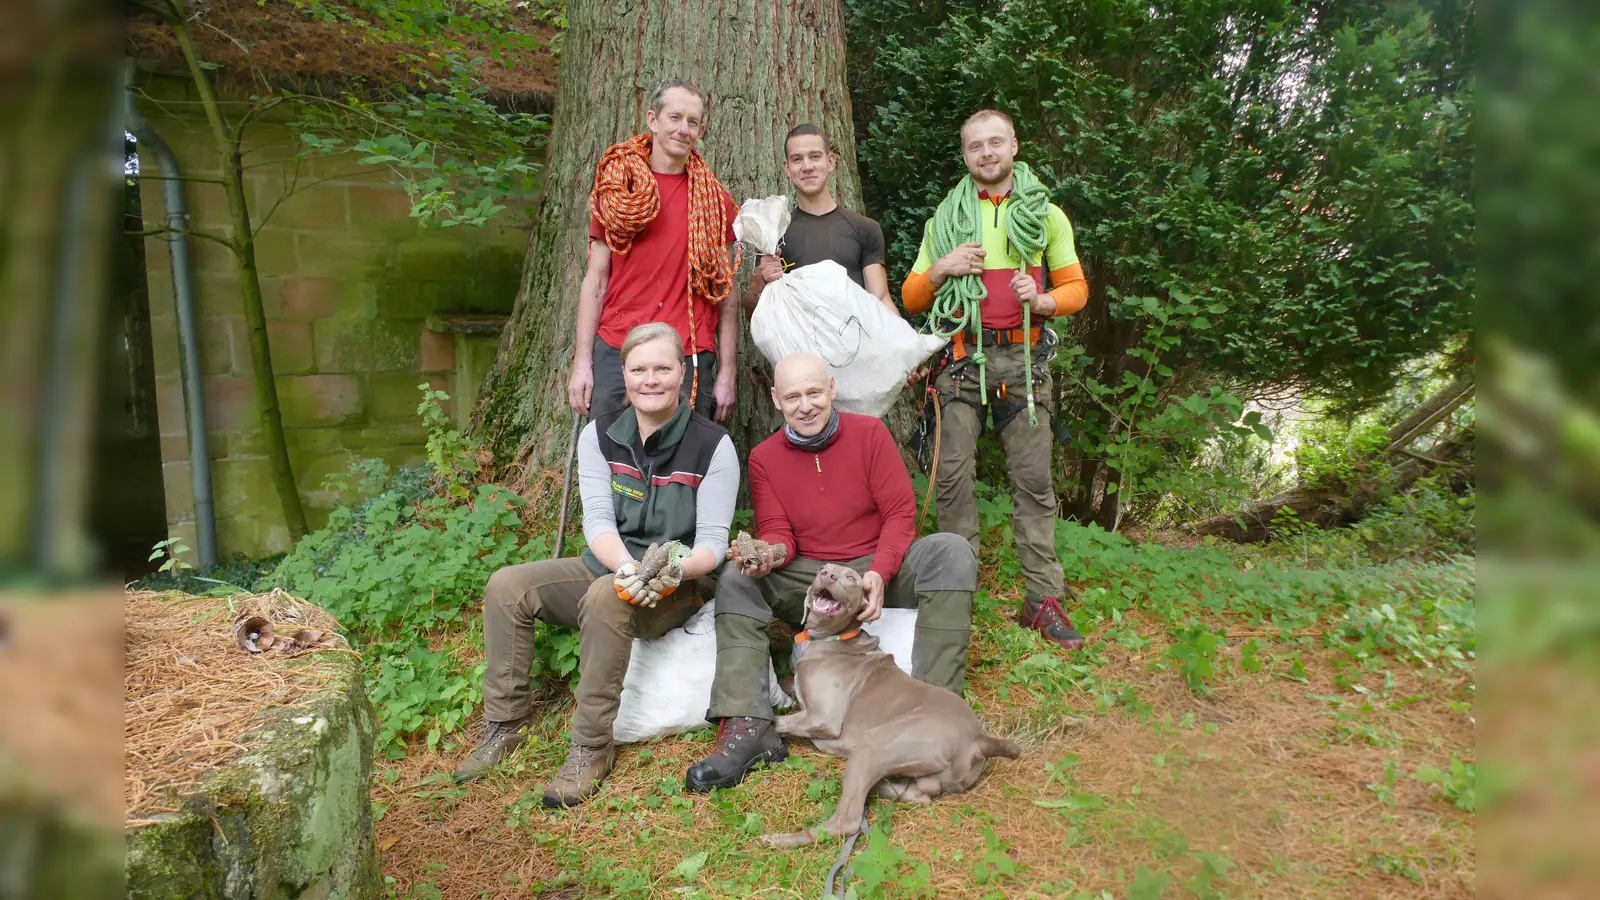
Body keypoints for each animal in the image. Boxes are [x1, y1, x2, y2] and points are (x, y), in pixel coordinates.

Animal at [758, 563, 1011, 845]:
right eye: (823, 569)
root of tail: (979, 740)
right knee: (920, 795)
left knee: (847, 821)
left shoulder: (824, 718)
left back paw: (782, 839)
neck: (833, 639)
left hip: (876, 744)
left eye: (850, 578)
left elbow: (776, 720)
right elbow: (785, 688)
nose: (827, 575)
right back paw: (882, 786)